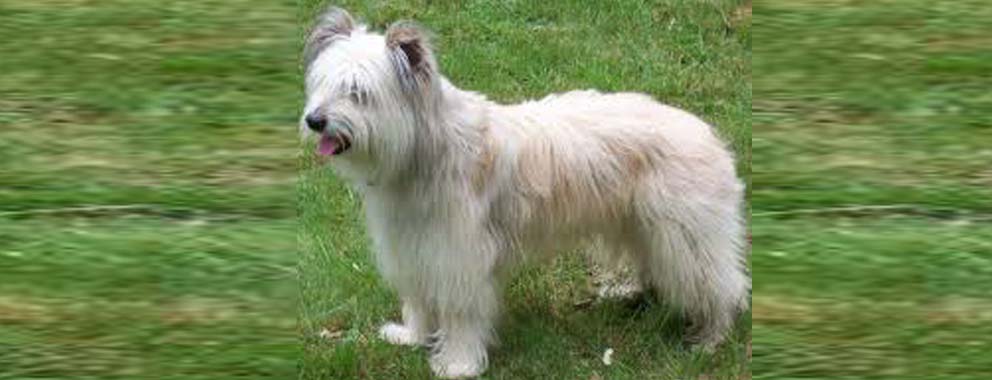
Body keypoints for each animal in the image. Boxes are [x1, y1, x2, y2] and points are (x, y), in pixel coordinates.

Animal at [298, 7, 748, 378]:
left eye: (358, 93)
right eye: (321, 85)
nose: (314, 120)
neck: (425, 150)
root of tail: (708, 134)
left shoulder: (458, 258)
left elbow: (460, 312)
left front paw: (458, 364)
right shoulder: (411, 247)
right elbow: (420, 300)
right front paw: (412, 336)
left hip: (686, 238)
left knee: (723, 285)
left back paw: (711, 338)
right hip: (642, 225)